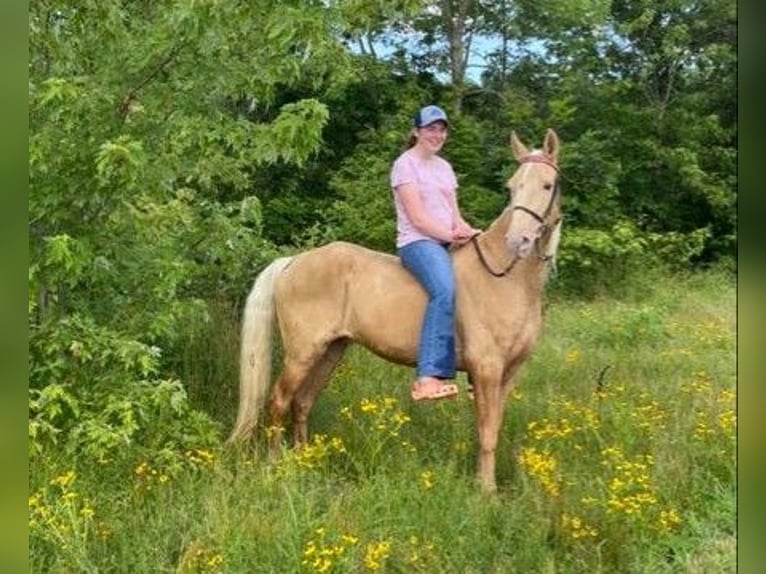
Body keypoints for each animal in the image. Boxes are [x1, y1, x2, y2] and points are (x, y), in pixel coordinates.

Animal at [228, 128, 564, 492]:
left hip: (331, 350)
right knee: (279, 400)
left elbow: (493, 428)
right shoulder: (486, 369)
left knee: (302, 402)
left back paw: (305, 461)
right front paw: (486, 491)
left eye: (547, 185)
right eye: (512, 186)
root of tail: (293, 262)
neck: (504, 277)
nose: (518, 242)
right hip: (303, 352)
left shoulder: (509, 373)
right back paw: (275, 466)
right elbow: (487, 431)